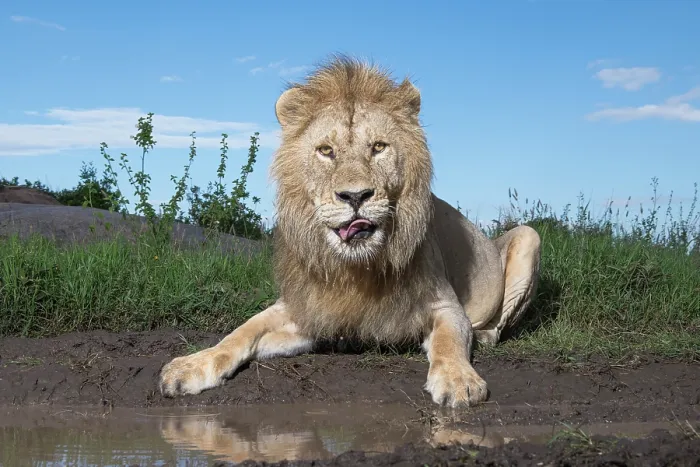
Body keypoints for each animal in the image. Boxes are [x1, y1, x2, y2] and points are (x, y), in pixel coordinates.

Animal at [159, 56, 541, 408]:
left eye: (379, 147)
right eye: (326, 151)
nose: (355, 196)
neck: (356, 268)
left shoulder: (446, 305)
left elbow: (449, 340)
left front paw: (459, 380)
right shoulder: (307, 309)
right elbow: (240, 333)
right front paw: (192, 365)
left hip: (529, 236)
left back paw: (484, 337)